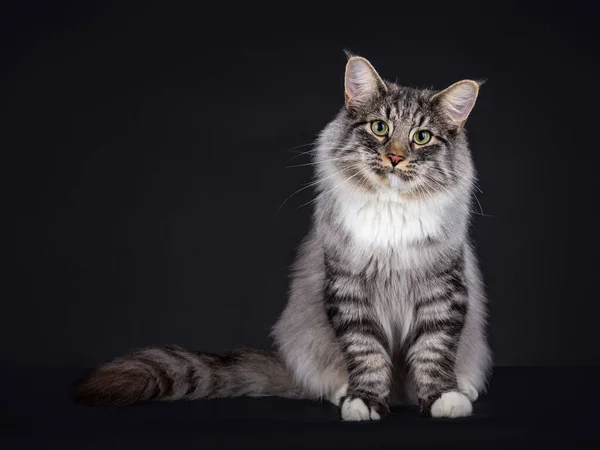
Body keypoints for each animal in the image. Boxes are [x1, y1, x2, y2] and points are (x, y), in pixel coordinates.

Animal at [72, 54, 490, 420]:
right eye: (380, 128)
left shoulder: (442, 287)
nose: (396, 158)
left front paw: (443, 398)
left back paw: (463, 387)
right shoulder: (348, 288)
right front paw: (365, 401)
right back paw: (344, 391)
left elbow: (433, 351)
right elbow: (367, 353)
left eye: (422, 137)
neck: (390, 214)